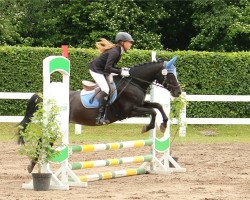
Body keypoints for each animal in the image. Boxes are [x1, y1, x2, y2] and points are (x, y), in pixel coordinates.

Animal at [18, 55, 182, 172]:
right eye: (171, 76)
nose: (178, 92)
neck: (134, 82)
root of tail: (46, 97)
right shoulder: (130, 110)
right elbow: (153, 111)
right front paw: (147, 127)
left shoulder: (141, 104)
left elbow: (158, 106)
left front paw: (163, 124)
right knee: (43, 140)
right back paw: (33, 166)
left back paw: (33, 166)